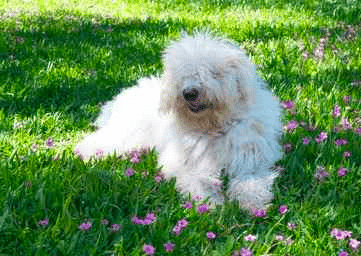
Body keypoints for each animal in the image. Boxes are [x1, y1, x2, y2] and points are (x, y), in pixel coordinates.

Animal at [76, 32, 282, 210]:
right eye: (183, 74)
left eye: (213, 72)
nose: (189, 93)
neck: (213, 127)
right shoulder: (185, 163)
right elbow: (197, 180)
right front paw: (210, 203)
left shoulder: (251, 161)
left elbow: (250, 180)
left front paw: (252, 202)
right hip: (126, 135)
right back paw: (84, 151)